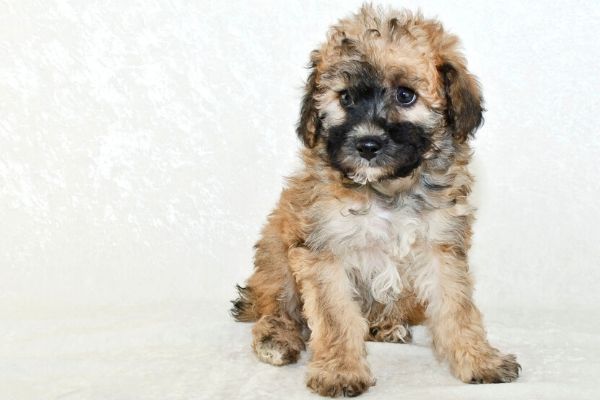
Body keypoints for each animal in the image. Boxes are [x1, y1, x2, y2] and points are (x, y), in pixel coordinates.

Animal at [232, 6, 516, 396]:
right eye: (346, 99)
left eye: (406, 96)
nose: (367, 145)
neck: (387, 189)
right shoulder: (323, 250)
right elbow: (335, 316)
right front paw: (340, 371)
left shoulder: (440, 246)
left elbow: (457, 308)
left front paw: (478, 359)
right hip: (277, 253)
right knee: (278, 303)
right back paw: (277, 337)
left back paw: (387, 325)